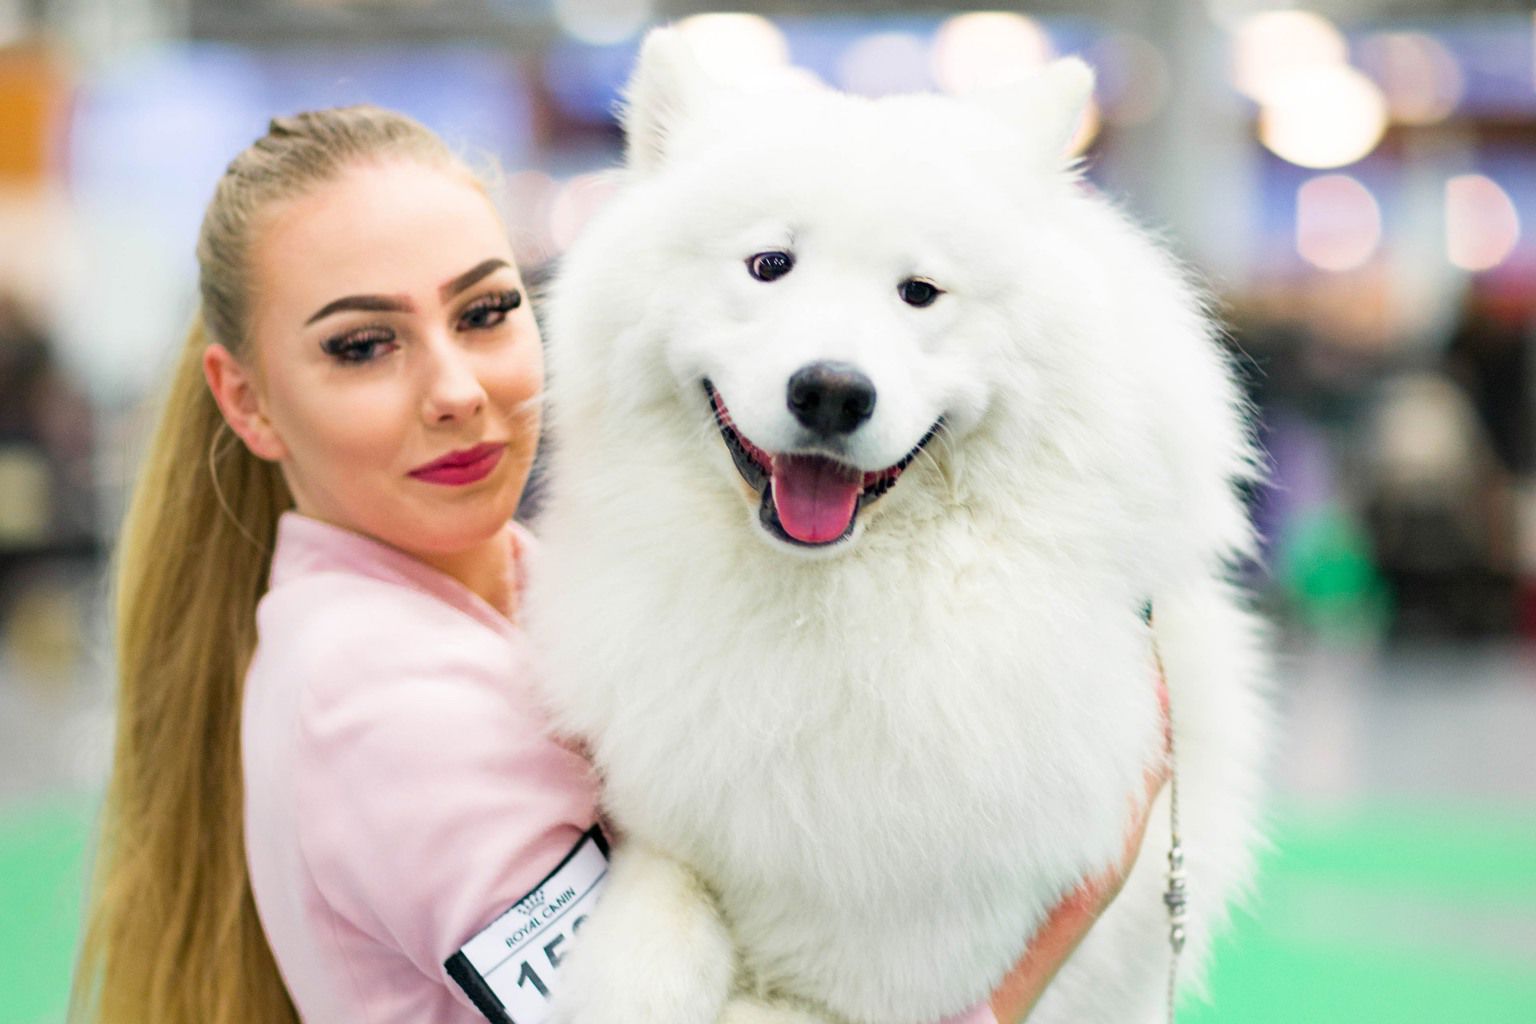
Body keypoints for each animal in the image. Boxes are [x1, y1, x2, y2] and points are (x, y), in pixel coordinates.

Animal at [528, 30, 1271, 1024]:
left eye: (919, 292)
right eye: (770, 265)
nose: (832, 391)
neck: (832, 607)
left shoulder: (900, 973)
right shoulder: (668, 815)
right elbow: (657, 908)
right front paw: (628, 977)